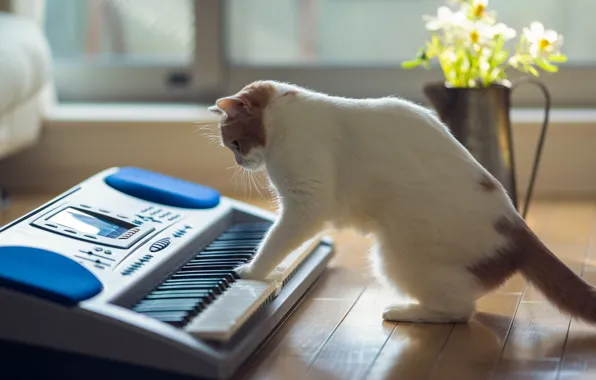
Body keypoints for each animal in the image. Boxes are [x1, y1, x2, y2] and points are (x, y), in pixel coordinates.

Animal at [207, 80, 596, 324]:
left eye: (236, 144)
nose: (240, 163)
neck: (286, 118)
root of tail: (520, 229)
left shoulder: (306, 205)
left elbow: (273, 241)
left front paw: (252, 272)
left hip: (393, 257)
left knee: (461, 311)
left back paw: (404, 312)